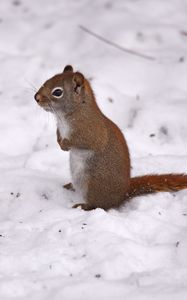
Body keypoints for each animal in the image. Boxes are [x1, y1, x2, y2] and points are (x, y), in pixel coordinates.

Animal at [34, 65, 187, 211]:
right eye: (47, 80)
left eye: (57, 92)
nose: (36, 97)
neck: (69, 114)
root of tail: (123, 195)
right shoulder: (60, 128)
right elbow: (58, 134)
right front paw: (59, 142)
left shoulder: (91, 132)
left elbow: (81, 141)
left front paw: (65, 144)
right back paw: (69, 186)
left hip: (93, 184)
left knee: (100, 205)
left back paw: (83, 206)